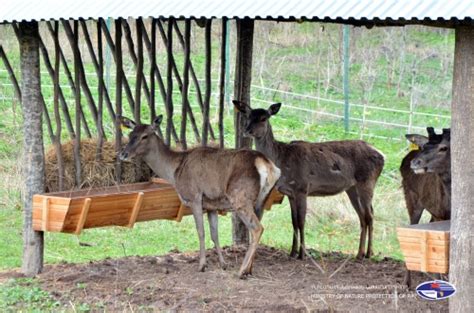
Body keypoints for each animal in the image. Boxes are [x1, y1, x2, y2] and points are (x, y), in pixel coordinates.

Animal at [119, 115, 282, 278]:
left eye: (144, 136)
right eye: (130, 134)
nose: (123, 154)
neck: (174, 171)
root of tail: (268, 165)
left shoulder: (194, 197)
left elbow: (201, 231)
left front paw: (202, 265)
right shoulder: (211, 205)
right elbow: (214, 234)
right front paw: (223, 264)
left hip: (240, 197)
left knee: (257, 228)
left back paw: (241, 271)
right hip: (262, 199)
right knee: (256, 227)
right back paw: (249, 269)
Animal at [233, 100, 386, 258]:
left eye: (264, 118)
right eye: (248, 116)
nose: (247, 130)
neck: (281, 160)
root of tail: (382, 155)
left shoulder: (302, 188)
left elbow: (301, 222)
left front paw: (302, 254)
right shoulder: (290, 193)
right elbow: (294, 222)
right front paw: (292, 252)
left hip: (367, 181)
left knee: (370, 215)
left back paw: (369, 253)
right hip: (352, 188)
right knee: (362, 216)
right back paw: (359, 253)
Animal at [402, 126, 450, 286]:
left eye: (444, 147)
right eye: (425, 146)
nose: (415, 162)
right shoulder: (441, 214)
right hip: (411, 198)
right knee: (411, 227)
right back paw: (407, 282)